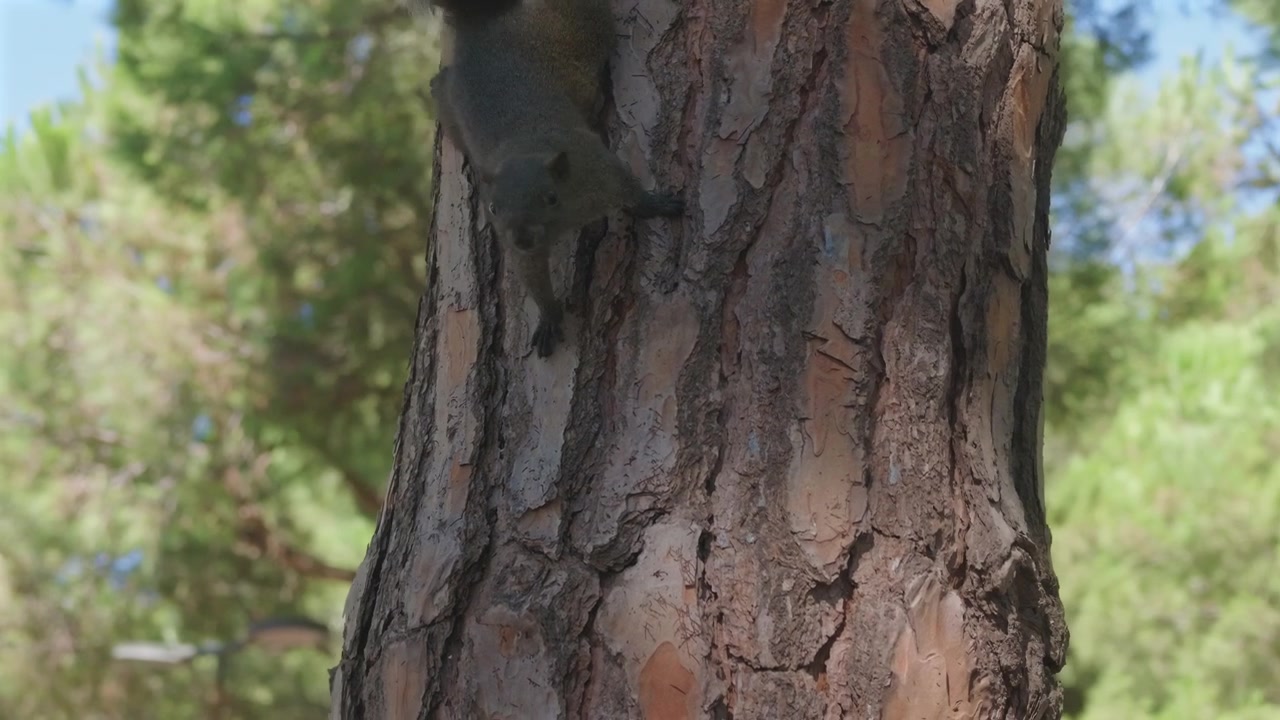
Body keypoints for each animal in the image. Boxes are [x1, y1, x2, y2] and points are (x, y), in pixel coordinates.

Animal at [425, 0, 686, 357]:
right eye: (492, 209)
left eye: (550, 197)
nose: (521, 237)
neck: (524, 149)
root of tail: (480, 24)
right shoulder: (522, 248)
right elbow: (533, 275)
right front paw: (549, 317)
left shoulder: (596, 166)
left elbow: (630, 190)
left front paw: (657, 205)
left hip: (579, 31)